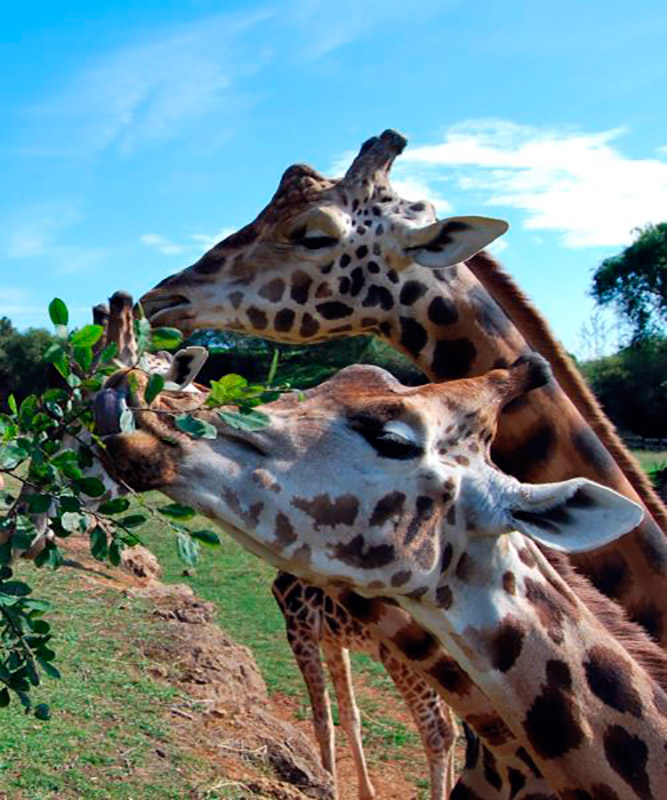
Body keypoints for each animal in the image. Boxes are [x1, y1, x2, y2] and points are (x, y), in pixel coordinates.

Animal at [92, 346, 667, 796]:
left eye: (392, 440)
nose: (127, 396)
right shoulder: (327, 636)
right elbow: (348, 712)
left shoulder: (302, 629)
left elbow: (327, 715)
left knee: (437, 727)